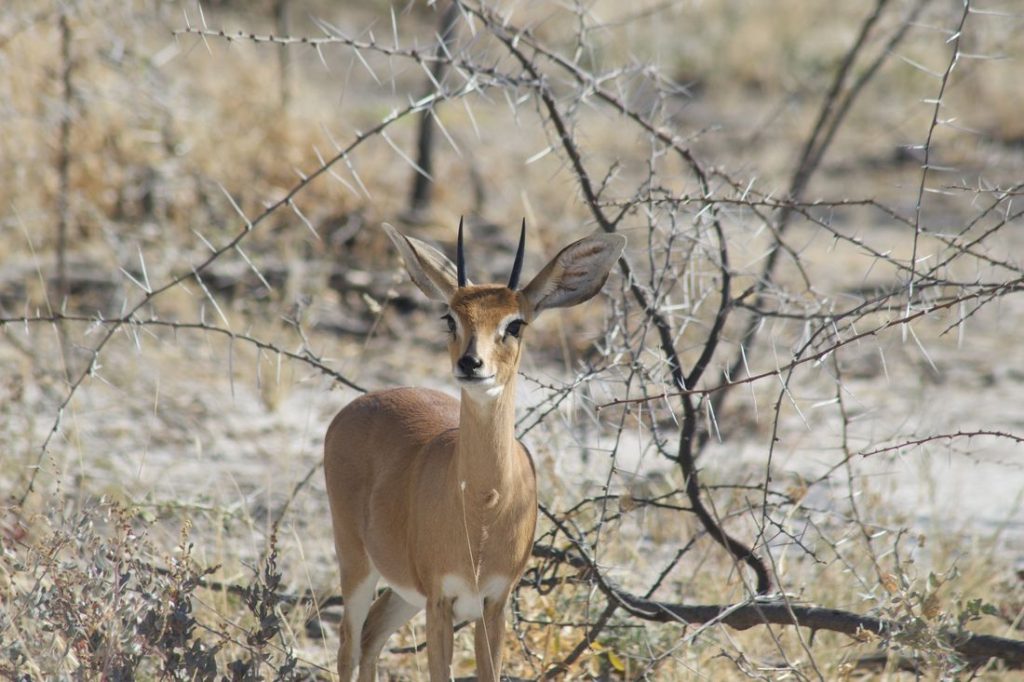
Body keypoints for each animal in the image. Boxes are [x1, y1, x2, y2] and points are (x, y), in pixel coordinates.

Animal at [323, 220, 622, 675]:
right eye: (450, 317)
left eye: (515, 324)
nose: (470, 363)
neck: (484, 505)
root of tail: (360, 404)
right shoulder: (441, 600)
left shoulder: (493, 604)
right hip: (356, 560)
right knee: (348, 646)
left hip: (404, 592)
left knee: (372, 635)